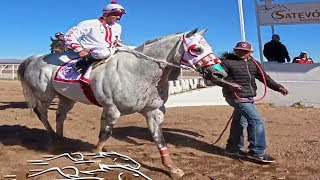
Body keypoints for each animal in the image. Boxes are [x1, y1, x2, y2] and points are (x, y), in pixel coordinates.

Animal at [18, 28, 228, 179]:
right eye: (197, 49)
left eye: (209, 46)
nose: (220, 74)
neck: (139, 71)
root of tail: (35, 58)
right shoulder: (112, 109)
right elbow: (104, 134)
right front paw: (95, 157)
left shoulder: (154, 112)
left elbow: (159, 139)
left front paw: (171, 168)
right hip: (45, 95)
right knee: (42, 113)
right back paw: (53, 141)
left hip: (66, 98)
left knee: (60, 115)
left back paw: (60, 139)